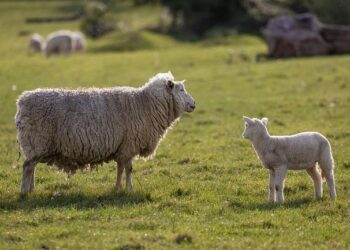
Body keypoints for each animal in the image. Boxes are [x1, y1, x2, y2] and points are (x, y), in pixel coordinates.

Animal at [15, 71, 196, 194]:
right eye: (181, 90)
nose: (194, 104)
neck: (145, 104)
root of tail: (22, 101)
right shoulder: (129, 145)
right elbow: (128, 169)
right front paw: (129, 188)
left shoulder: (122, 147)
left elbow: (120, 168)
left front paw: (118, 187)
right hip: (36, 141)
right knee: (27, 167)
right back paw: (24, 191)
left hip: (37, 145)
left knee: (32, 167)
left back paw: (32, 189)